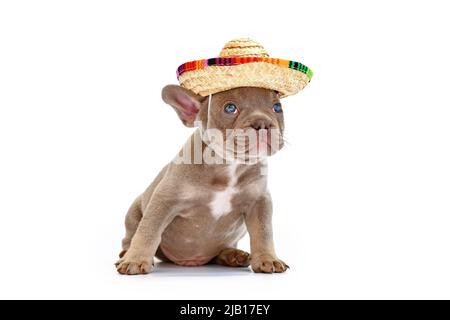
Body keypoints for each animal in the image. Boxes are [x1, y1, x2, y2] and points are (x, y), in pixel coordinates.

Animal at [116, 85, 288, 276]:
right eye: (230, 108)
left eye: (277, 108)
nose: (262, 122)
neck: (227, 165)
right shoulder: (164, 200)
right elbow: (148, 231)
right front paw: (135, 259)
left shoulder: (259, 202)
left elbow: (264, 233)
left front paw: (268, 258)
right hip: (133, 213)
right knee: (131, 235)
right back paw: (126, 254)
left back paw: (234, 255)